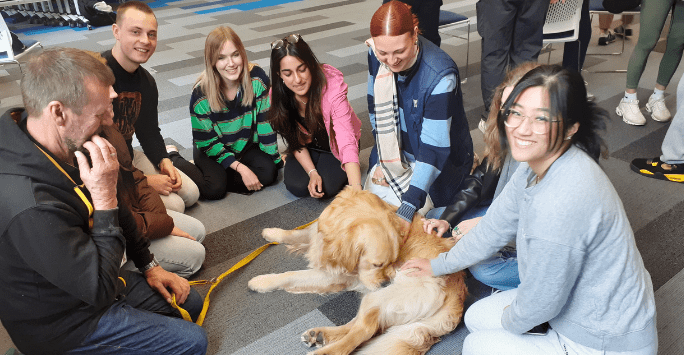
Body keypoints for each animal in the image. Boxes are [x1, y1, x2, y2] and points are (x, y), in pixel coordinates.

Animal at [248, 189, 468, 354]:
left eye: (393, 261)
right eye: (377, 265)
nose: (386, 282)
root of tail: (457, 297)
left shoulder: (332, 274)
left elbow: (292, 275)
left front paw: (261, 281)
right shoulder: (317, 234)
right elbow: (296, 233)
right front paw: (272, 233)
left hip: (387, 295)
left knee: (363, 331)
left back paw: (325, 351)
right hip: (378, 300)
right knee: (360, 325)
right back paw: (320, 335)